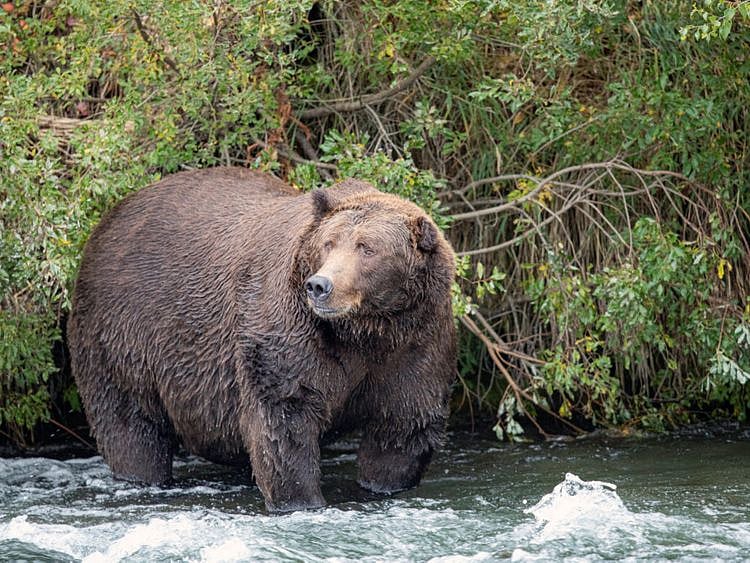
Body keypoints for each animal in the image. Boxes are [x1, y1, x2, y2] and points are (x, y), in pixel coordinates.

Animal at [67, 167, 457, 513]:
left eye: (367, 247)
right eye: (328, 243)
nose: (320, 286)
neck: (365, 331)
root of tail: (108, 220)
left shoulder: (416, 343)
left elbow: (403, 424)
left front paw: (382, 484)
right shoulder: (290, 330)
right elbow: (284, 419)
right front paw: (301, 501)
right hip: (123, 334)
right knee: (130, 423)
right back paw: (141, 475)